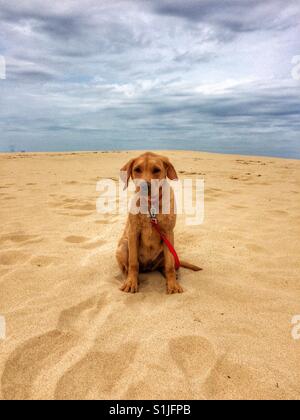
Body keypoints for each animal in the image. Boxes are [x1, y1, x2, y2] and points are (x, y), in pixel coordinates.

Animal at [115, 153, 202, 294]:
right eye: (137, 169)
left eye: (156, 170)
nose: (145, 187)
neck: (151, 204)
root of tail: (148, 267)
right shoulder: (133, 232)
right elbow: (133, 263)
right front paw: (131, 282)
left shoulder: (168, 232)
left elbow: (170, 265)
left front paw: (172, 284)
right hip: (122, 247)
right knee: (126, 268)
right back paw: (131, 278)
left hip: (169, 248)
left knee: (166, 264)